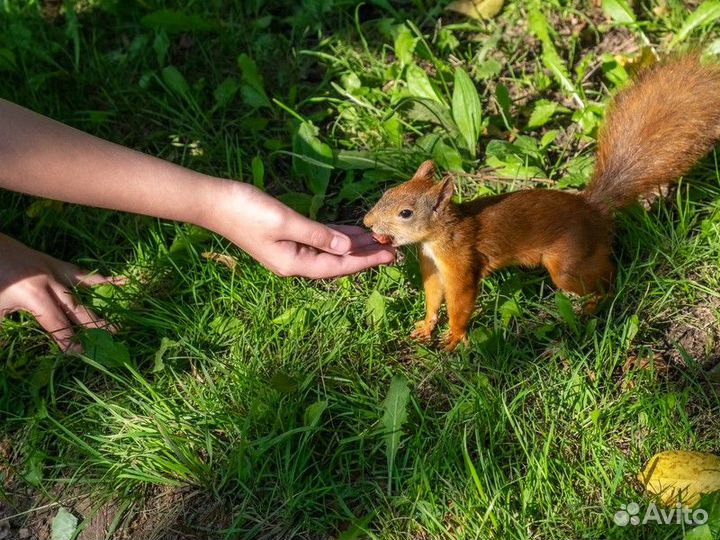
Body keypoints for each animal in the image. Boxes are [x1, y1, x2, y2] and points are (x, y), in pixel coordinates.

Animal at [362, 54, 720, 350]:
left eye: (405, 213)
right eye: (387, 193)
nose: (367, 223)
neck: (436, 238)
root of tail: (594, 210)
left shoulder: (461, 262)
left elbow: (460, 301)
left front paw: (455, 337)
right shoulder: (433, 267)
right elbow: (433, 298)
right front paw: (426, 327)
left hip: (568, 264)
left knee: (607, 275)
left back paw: (596, 302)